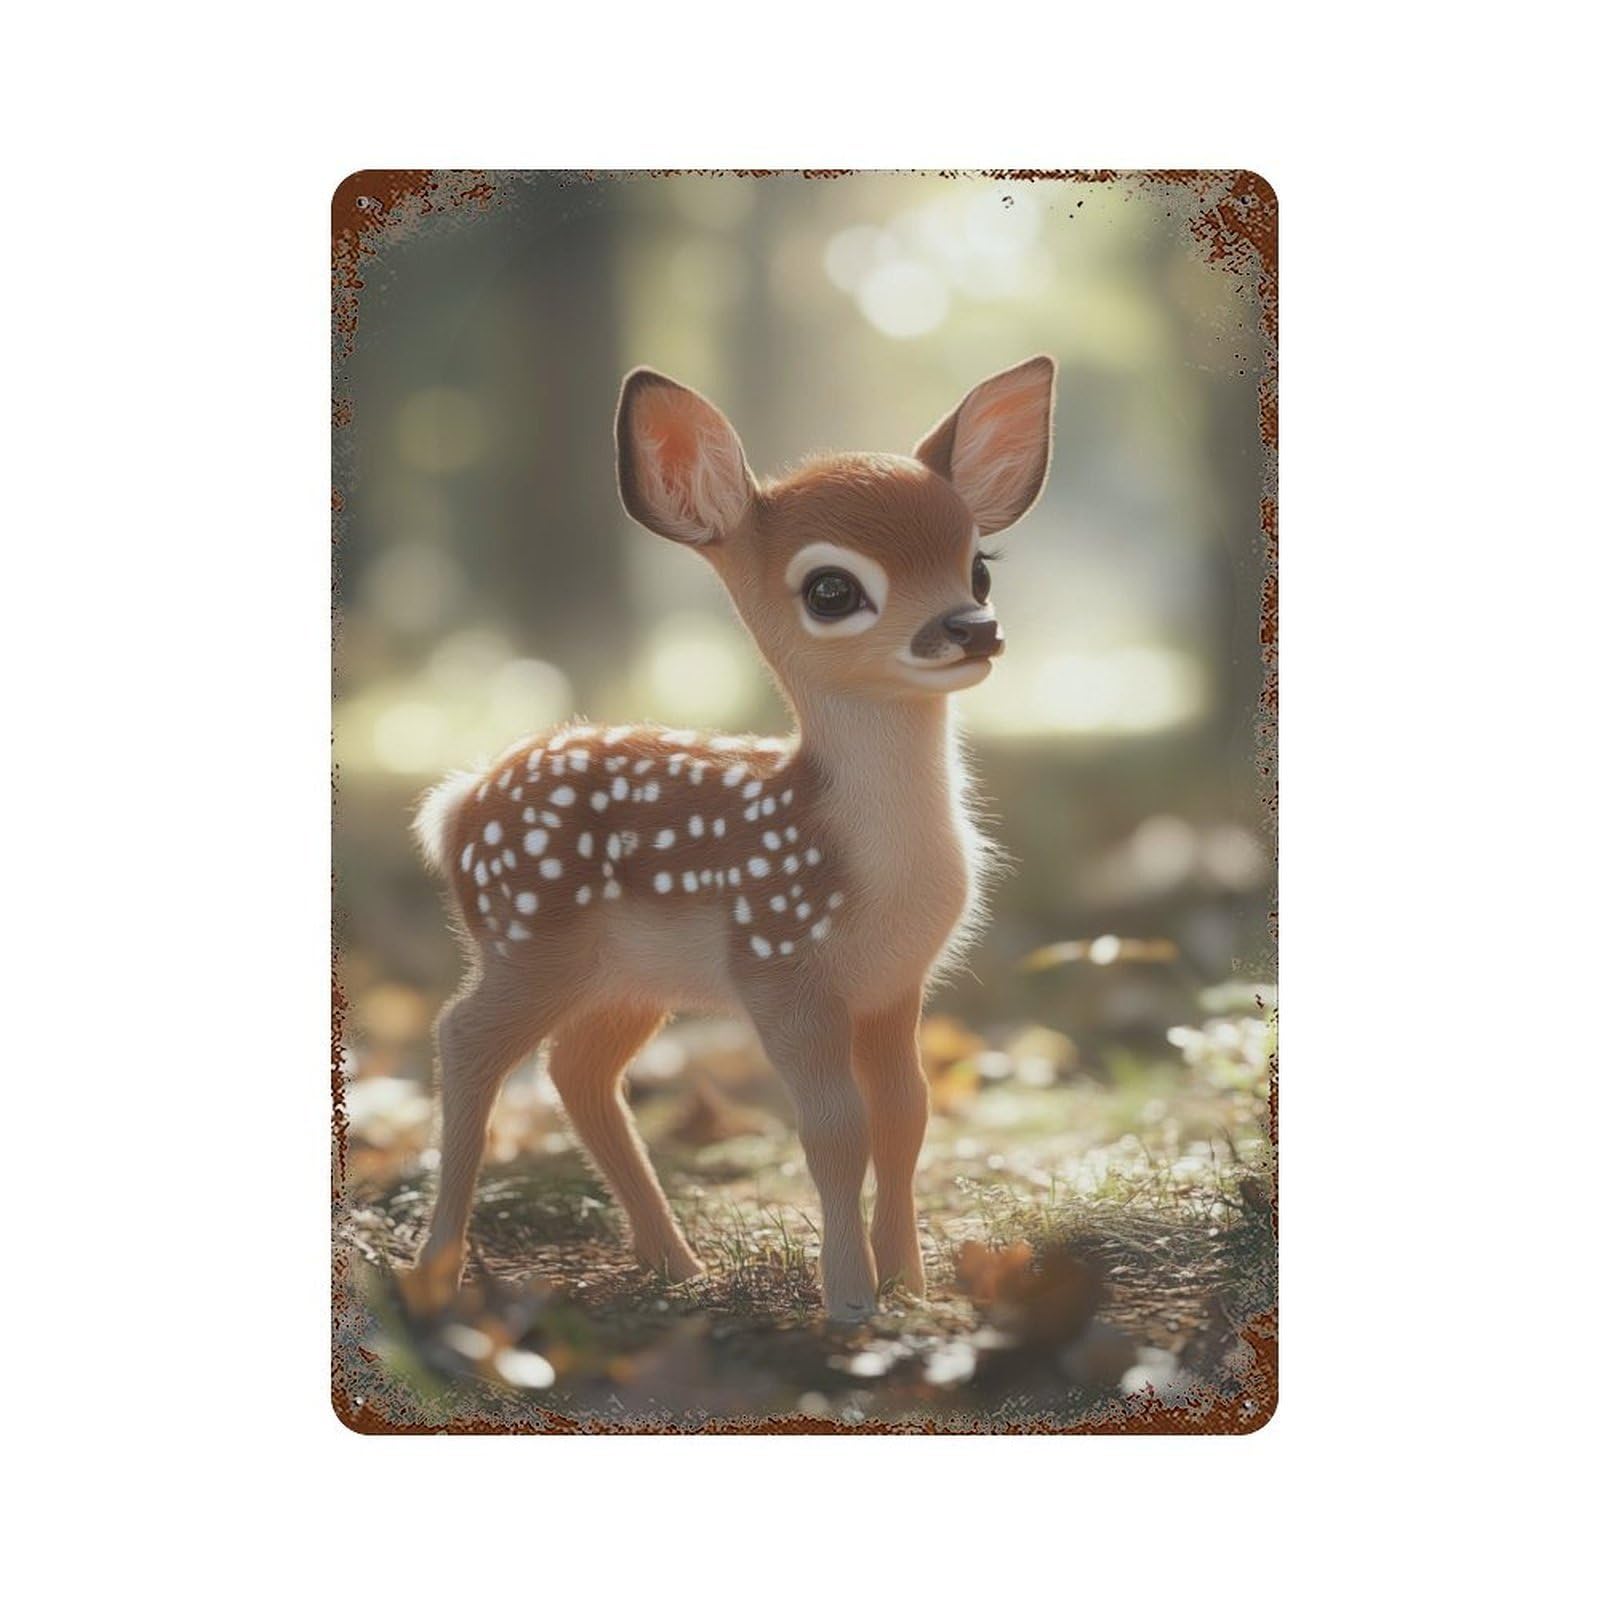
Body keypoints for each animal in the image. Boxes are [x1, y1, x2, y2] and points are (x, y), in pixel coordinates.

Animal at [409, 355, 1057, 1321]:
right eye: (831, 589)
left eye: (978, 568)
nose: (973, 629)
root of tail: (454, 807)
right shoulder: (781, 966)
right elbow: (834, 1130)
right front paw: (851, 1302)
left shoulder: (893, 984)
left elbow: (906, 1117)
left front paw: (910, 1285)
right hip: (531, 939)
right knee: (463, 1040)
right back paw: (435, 1277)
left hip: (626, 979)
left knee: (578, 1071)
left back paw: (678, 1265)